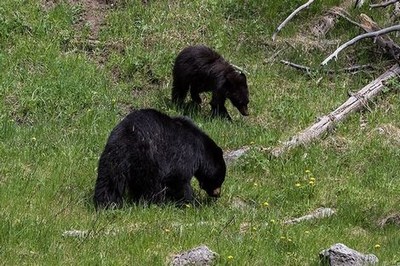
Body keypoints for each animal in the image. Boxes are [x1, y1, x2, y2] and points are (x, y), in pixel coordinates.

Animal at [93, 109, 225, 209]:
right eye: (221, 178)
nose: (218, 194)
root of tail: (125, 140)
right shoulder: (185, 153)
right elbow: (178, 178)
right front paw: (190, 202)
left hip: (112, 158)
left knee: (109, 182)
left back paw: (106, 204)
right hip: (149, 159)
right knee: (151, 185)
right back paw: (153, 203)